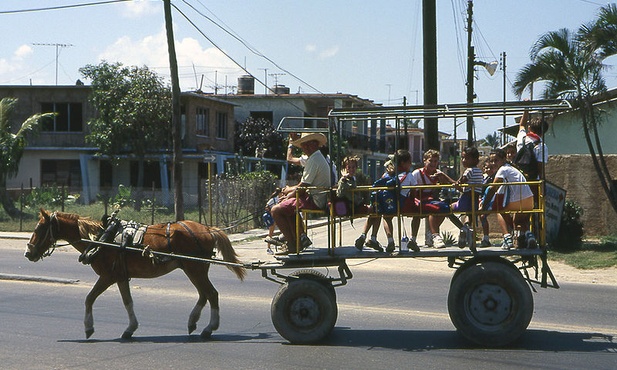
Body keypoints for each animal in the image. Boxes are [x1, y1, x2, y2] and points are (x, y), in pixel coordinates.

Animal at [24, 207, 245, 340]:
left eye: (40, 228)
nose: (28, 252)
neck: (101, 239)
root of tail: (207, 229)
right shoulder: (121, 276)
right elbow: (127, 301)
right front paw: (130, 328)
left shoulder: (108, 277)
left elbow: (89, 298)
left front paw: (88, 327)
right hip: (192, 268)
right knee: (203, 294)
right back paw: (193, 322)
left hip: (195, 268)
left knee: (211, 294)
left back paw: (209, 328)